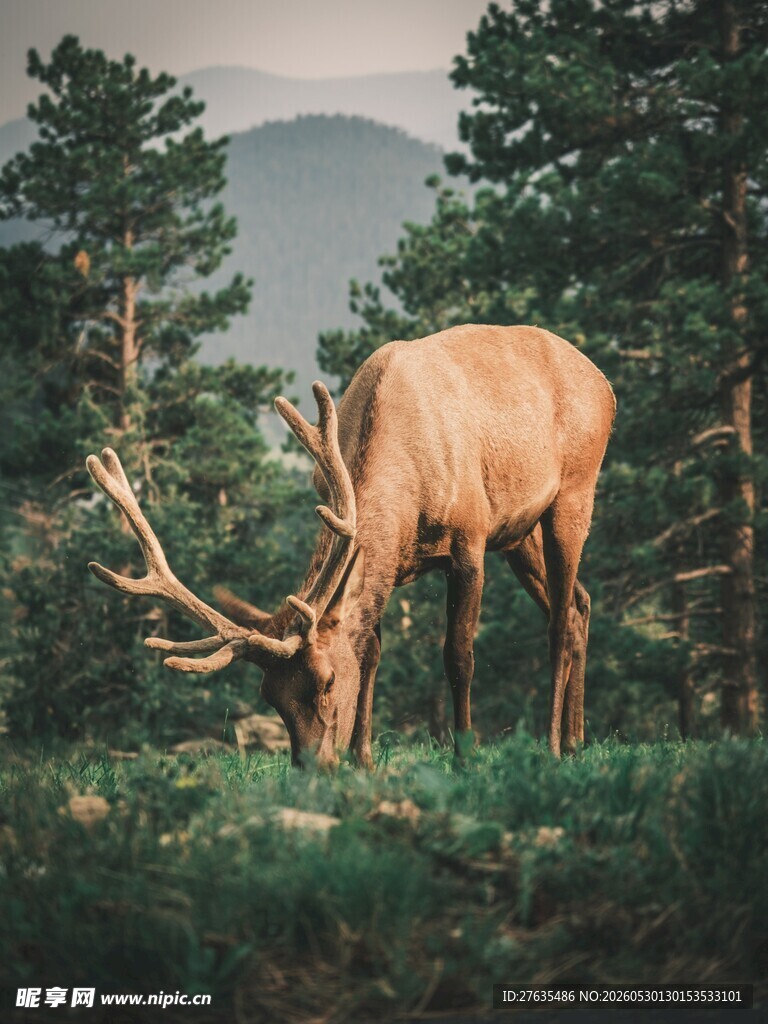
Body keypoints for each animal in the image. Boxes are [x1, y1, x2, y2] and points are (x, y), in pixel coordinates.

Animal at [86, 324, 615, 768]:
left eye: (326, 682)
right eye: (269, 696)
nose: (313, 768)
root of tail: (604, 384)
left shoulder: (469, 540)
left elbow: (458, 656)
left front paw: (464, 757)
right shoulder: (386, 565)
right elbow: (369, 652)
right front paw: (364, 760)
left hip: (574, 492)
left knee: (558, 622)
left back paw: (554, 747)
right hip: (519, 533)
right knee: (579, 604)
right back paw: (577, 740)